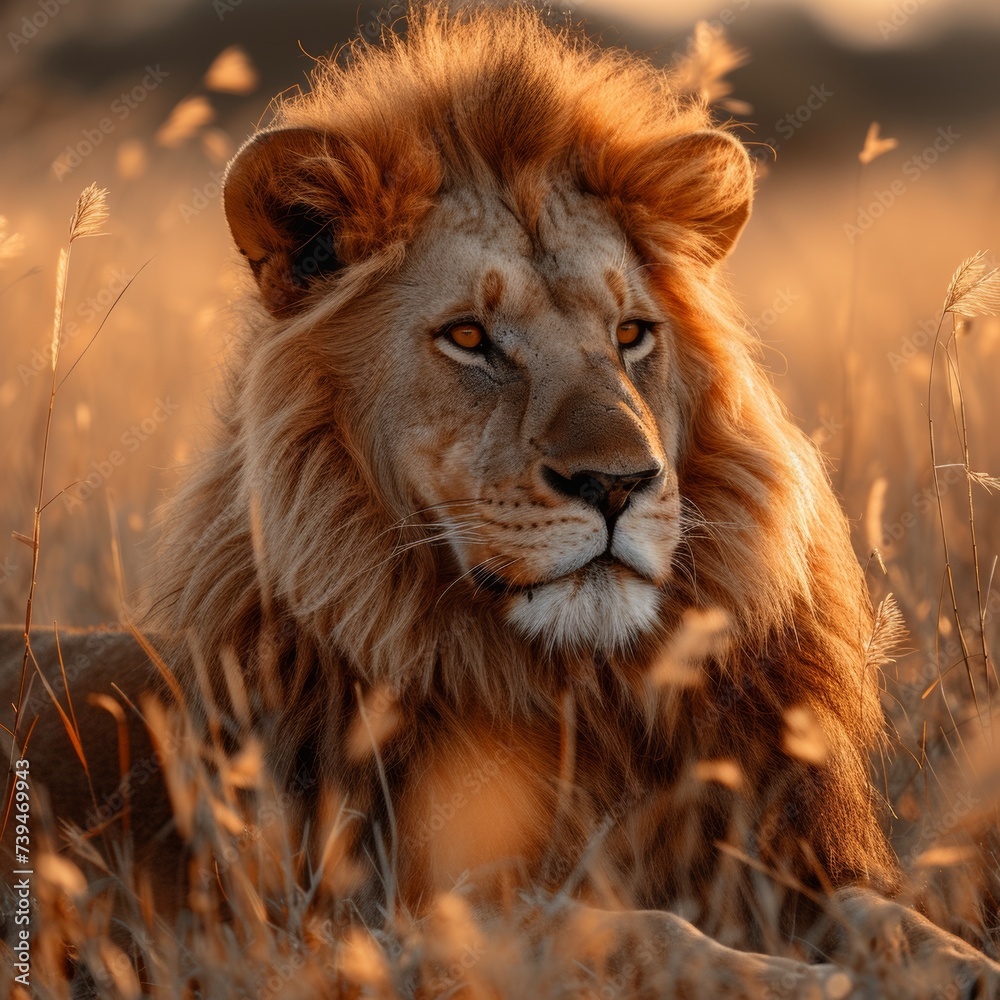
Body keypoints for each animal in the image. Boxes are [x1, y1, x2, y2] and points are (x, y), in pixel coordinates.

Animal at [4, 4, 999, 996]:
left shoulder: (781, 860)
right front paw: (794, 981)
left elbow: (889, 919)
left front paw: (955, 966)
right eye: (470, 338)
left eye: (631, 333)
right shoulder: (381, 918)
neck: (579, 691)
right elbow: (636, 933)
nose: (618, 482)